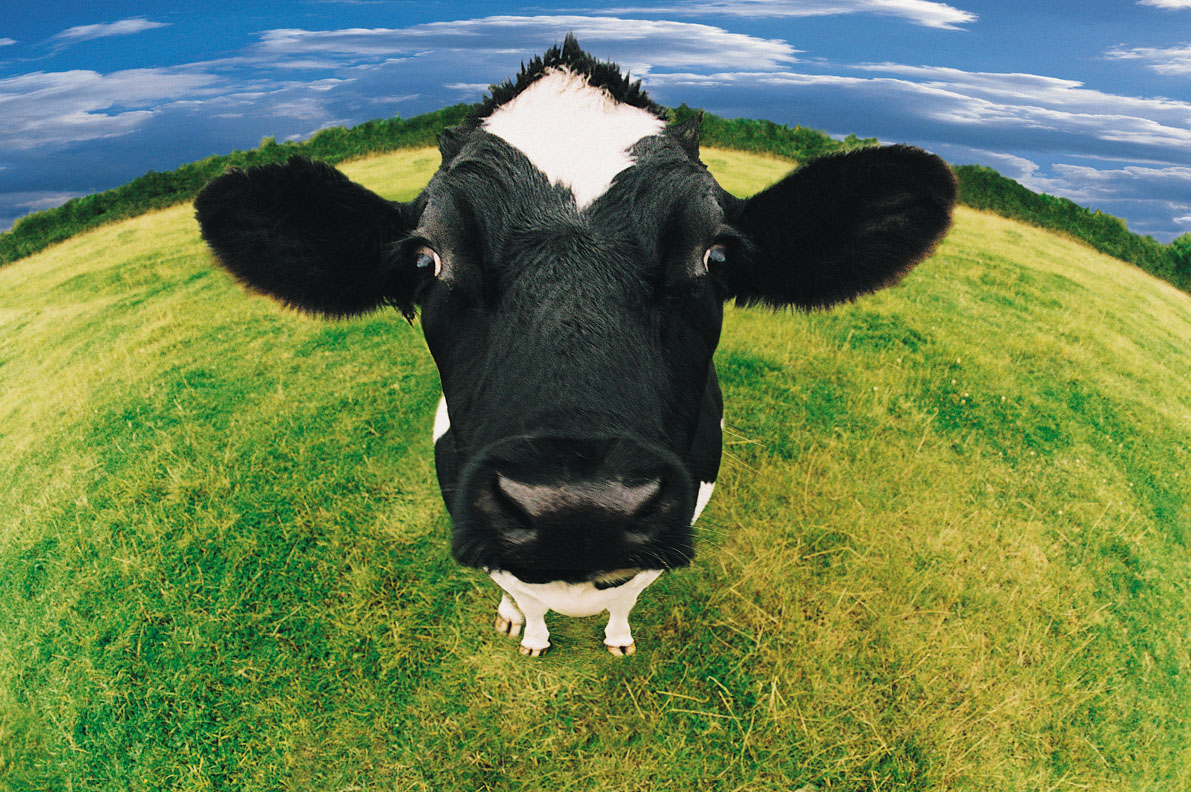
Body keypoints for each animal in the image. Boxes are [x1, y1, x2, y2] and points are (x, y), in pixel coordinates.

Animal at [194, 36, 955, 657]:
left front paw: (616, 636)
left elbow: (627, 593)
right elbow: (523, 593)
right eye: (426, 260)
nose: (576, 508)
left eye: (714, 256)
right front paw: (529, 632)